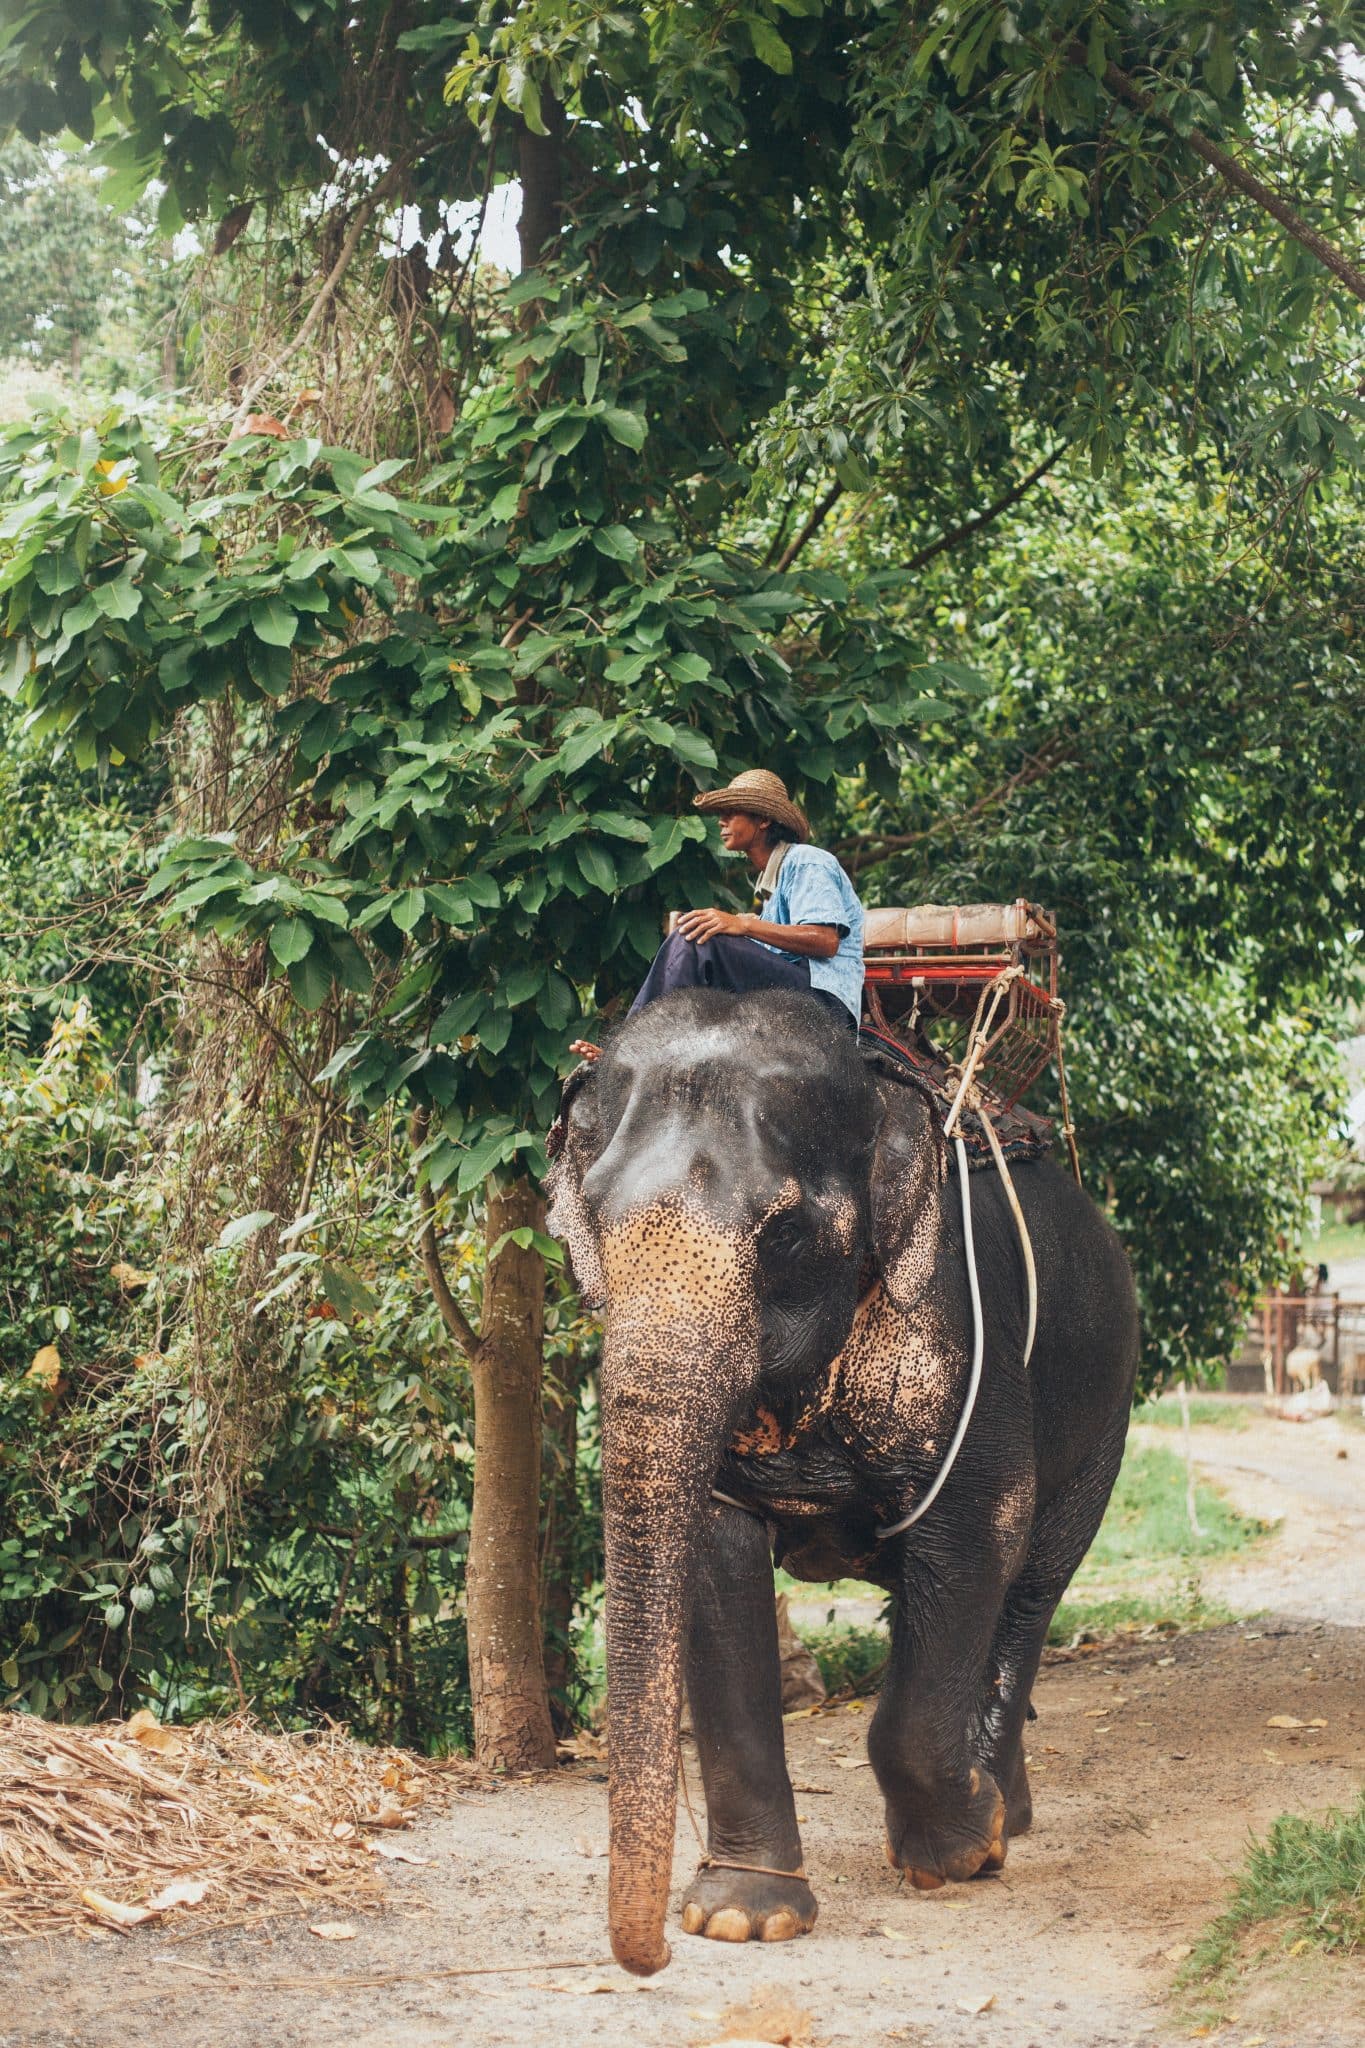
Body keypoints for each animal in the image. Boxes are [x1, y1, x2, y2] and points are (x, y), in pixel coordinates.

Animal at [548, 983, 1146, 1974]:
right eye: (591, 1219)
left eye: (785, 1233)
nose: (651, 1957)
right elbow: (716, 1560)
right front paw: (743, 1918)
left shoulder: (956, 1330)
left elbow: (979, 1525)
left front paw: (956, 1855)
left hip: (1107, 1407)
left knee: (1030, 1584)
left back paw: (1003, 1818)